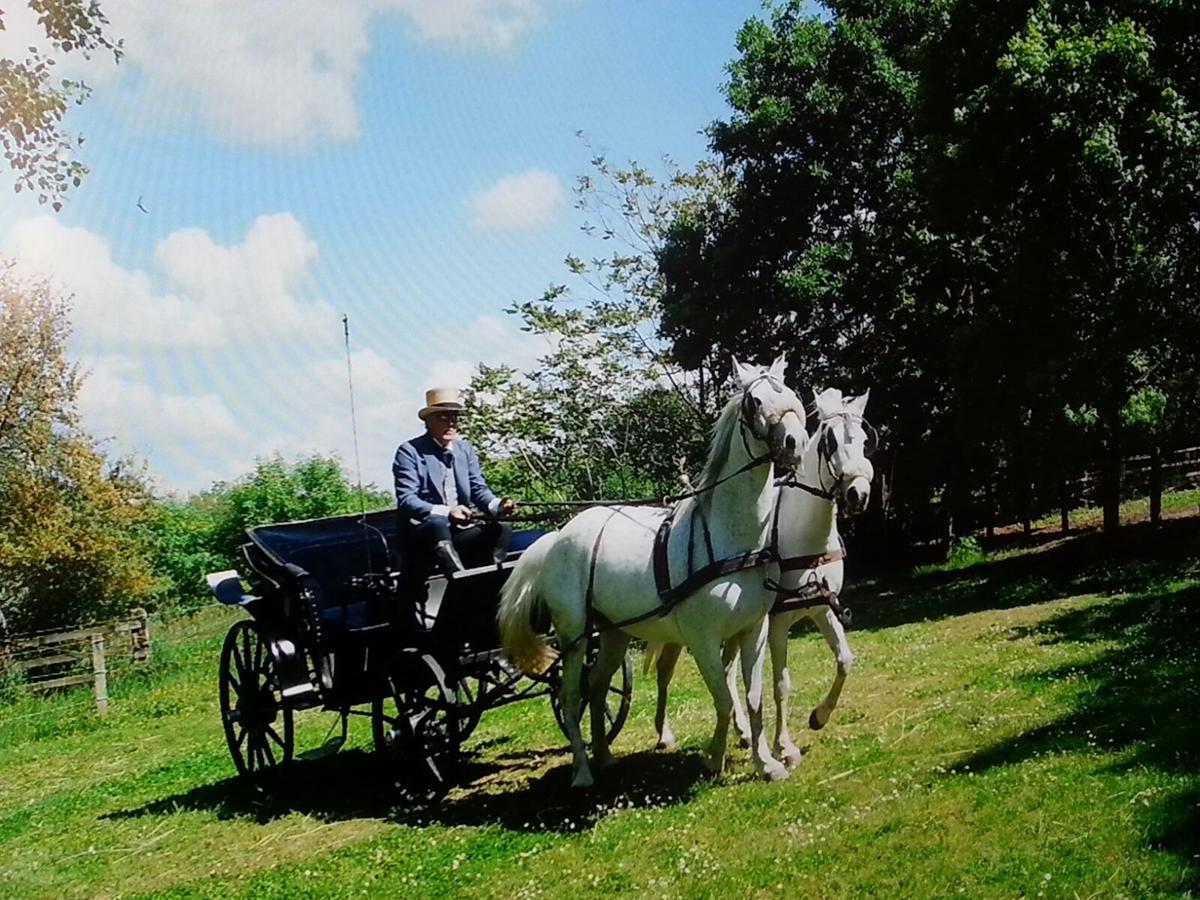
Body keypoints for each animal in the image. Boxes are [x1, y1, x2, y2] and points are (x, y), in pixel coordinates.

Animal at [496, 355, 806, 787]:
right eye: (754, 401)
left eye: (792, 392)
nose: (797, 443)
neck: (729, 536)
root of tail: (557, 538)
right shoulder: (702, 639)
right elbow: (724, 700)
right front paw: (713, 759)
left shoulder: (752, 630)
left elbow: (752, 699)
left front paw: (766, 763)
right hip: (574, 638)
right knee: (572, 697)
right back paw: (582, 771)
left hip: (613, 634)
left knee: (597, 688)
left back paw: (604, 755)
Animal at [652, 388, 878, 768]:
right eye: (830, 442)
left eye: (864, 440)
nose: (857, 494)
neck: (801, 535)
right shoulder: (776, 622)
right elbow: (781, 684)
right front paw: (784, 747)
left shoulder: (821, 608)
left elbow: (845, 661)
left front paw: (819, 716)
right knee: (666, 670)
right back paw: (666, 733)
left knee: (726, 671)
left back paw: (742, 732)